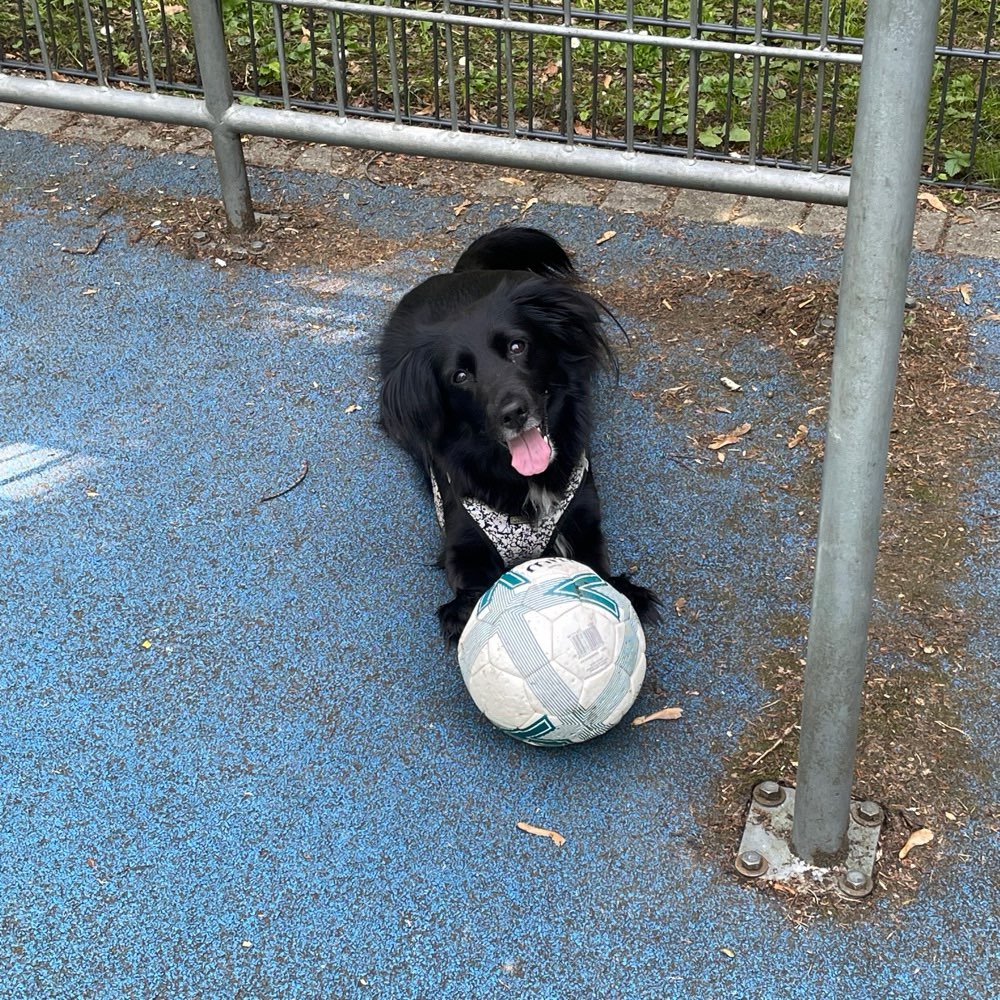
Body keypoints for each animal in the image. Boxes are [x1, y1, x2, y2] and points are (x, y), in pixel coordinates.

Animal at [376, 226, 656, 640]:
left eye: (516, 346)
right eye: (460, 376)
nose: (513, 413)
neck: (526, 481)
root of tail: (461, 273)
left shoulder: (584, 522)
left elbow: (595, 567)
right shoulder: (463, 544)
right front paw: (463, 613)